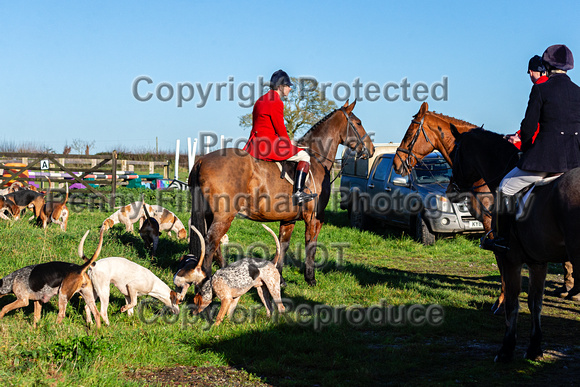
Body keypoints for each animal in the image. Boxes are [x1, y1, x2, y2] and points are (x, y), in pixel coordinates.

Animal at [188, 101, 374, 286]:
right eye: (358, 123)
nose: (371, 150)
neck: (317, 159)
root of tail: (201, 160)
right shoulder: (313, 218)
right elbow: (311, 244)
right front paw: (310, 278)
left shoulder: (288, 218)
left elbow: (283, 244)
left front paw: (281, 278)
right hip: (224, 216)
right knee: (210, 243)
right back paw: (207, 281)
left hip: (211, 215)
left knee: (214, 244)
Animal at [448, 129, 580, 362]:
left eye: (455, 151)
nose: (452, 188)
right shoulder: (538, 262)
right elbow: (535, 304)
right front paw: (534, 348)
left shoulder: (510, 258)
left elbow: (513, 303)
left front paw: (506, 349)